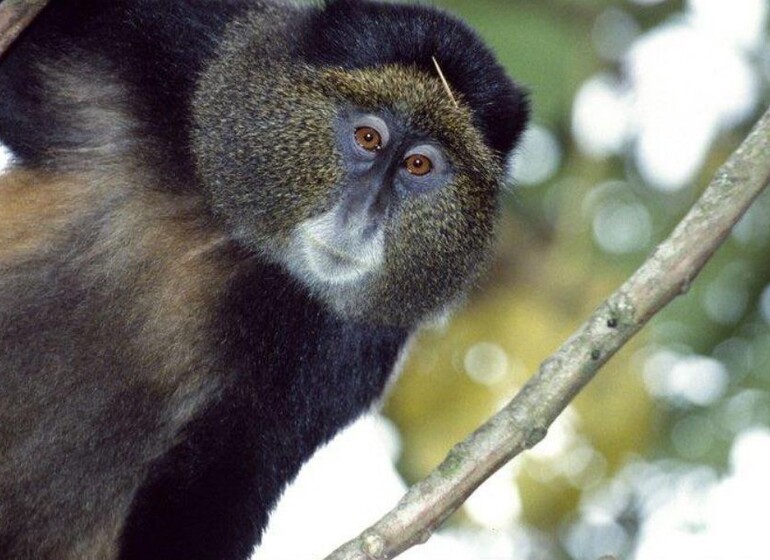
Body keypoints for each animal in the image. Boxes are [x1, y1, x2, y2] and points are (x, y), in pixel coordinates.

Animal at [0, 0, 529, 558]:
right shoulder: (163, 54)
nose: (363, 214)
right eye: (368, 137)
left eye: (419, 164)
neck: (246, 245)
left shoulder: (349, 349)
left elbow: (231, 466)